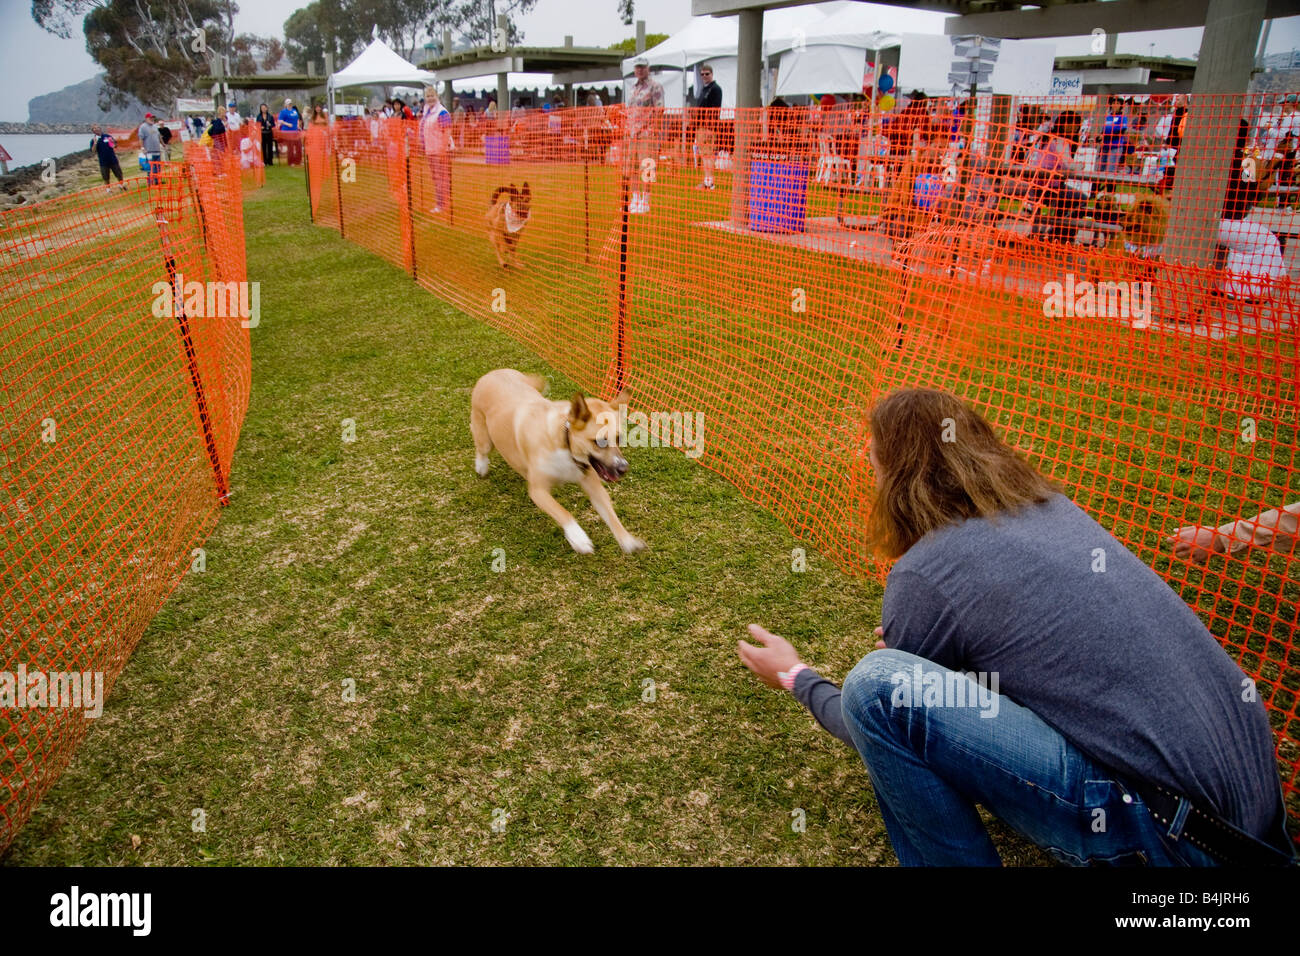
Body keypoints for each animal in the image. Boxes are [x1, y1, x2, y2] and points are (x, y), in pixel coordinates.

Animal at [473, 369, 644, 556]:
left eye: (619, 438)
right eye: (599, 441)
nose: (623, 468)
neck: (566, 444)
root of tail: (494, 372)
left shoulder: (593, 486)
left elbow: (611, 514)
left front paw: (627, 540)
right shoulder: (538, 491)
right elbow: (563, 512)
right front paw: (578, 538)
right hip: (485, 438)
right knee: (482, 449)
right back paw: (481, 466)